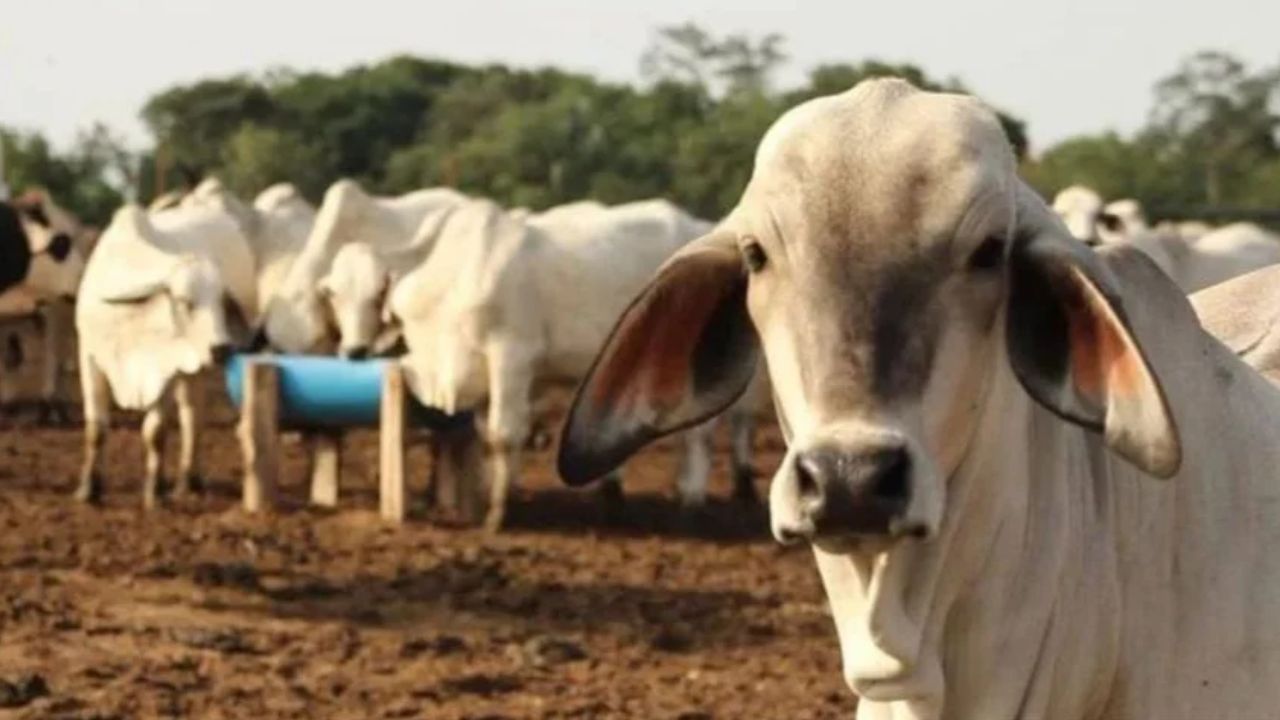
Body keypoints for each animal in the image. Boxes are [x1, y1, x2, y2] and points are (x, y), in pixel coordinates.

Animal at [75, 202, 257, 504]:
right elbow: (95, 429)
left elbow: (155, 432)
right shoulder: (89, 358)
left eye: (222, 301)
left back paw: (188, 482)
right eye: (185, 302)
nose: (221, 349)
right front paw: (87, 489)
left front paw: (154, 492)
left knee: (192, 417)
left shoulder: (163, 370)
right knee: (191, 412)